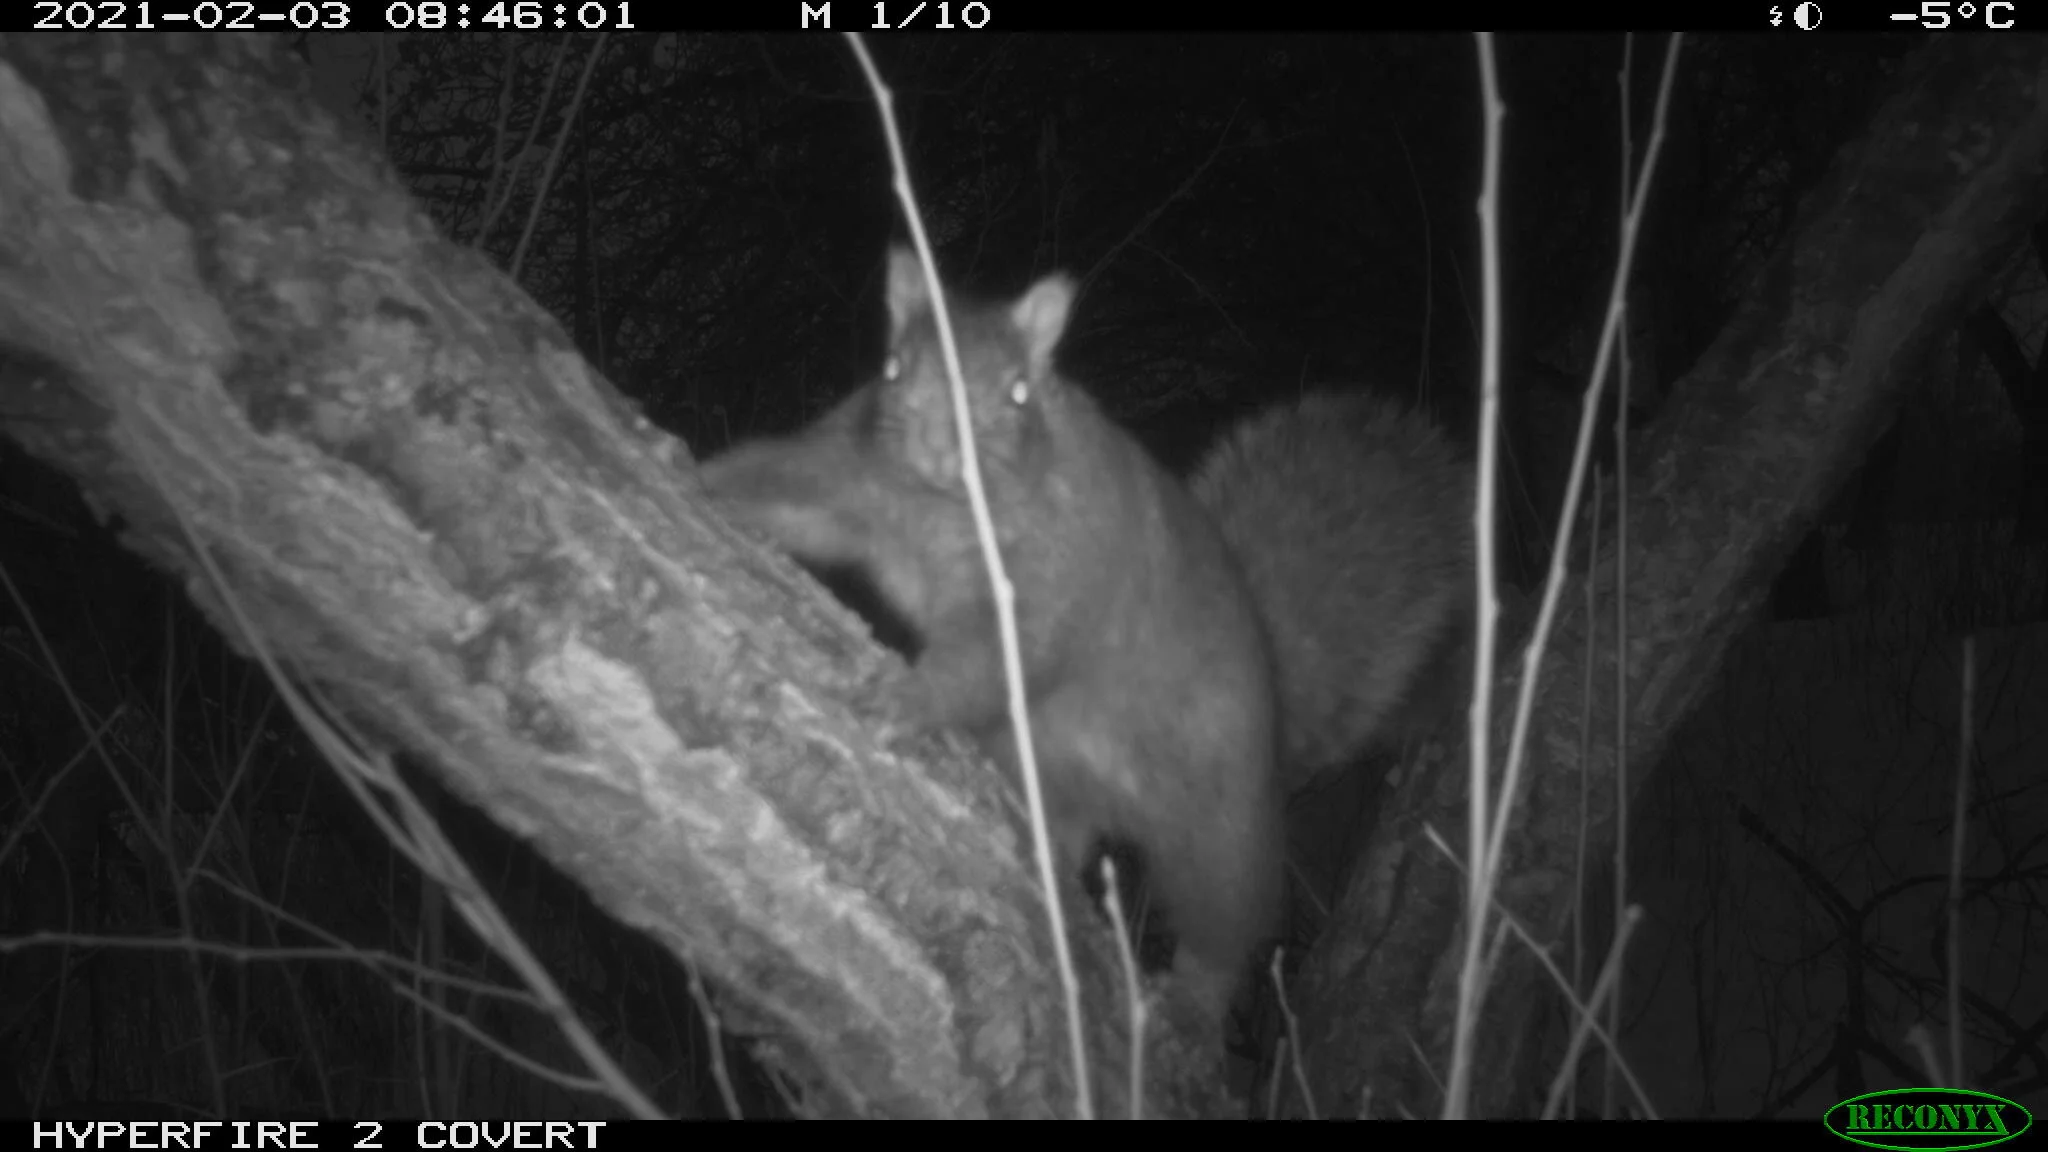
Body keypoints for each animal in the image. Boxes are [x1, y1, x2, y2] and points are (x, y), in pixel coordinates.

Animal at [699, 247, 1469, 1017]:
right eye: (892, 367)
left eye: (1017, 391)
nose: (941, 446)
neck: (936, 507)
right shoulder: (848, 477)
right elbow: (792, 496)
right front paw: (703, 479)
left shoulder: (1061, 568)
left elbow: (1002, 654)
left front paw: (909, 698)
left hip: (1217, 824)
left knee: (1226, 920)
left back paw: (1193, 997)